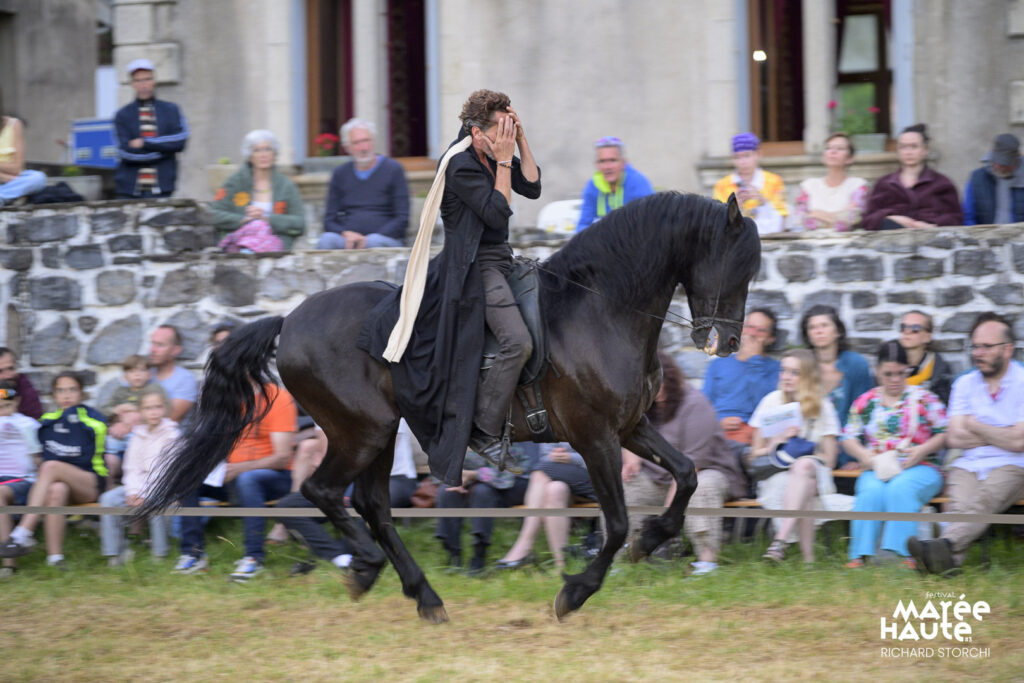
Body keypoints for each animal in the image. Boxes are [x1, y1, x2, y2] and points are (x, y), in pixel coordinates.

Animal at [140, 191, 760, 623]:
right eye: (736, 267)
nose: (728, 343)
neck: (599, 310)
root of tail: (289, 321)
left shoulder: (629, 428)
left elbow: (687, 475)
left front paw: (653, 539)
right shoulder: (595, 438)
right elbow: (614, 523)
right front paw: (575, 592)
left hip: (378, 432)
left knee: (371, 504)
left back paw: (420, 593)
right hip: (362, 431)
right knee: (324, 492)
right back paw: (368, 568)